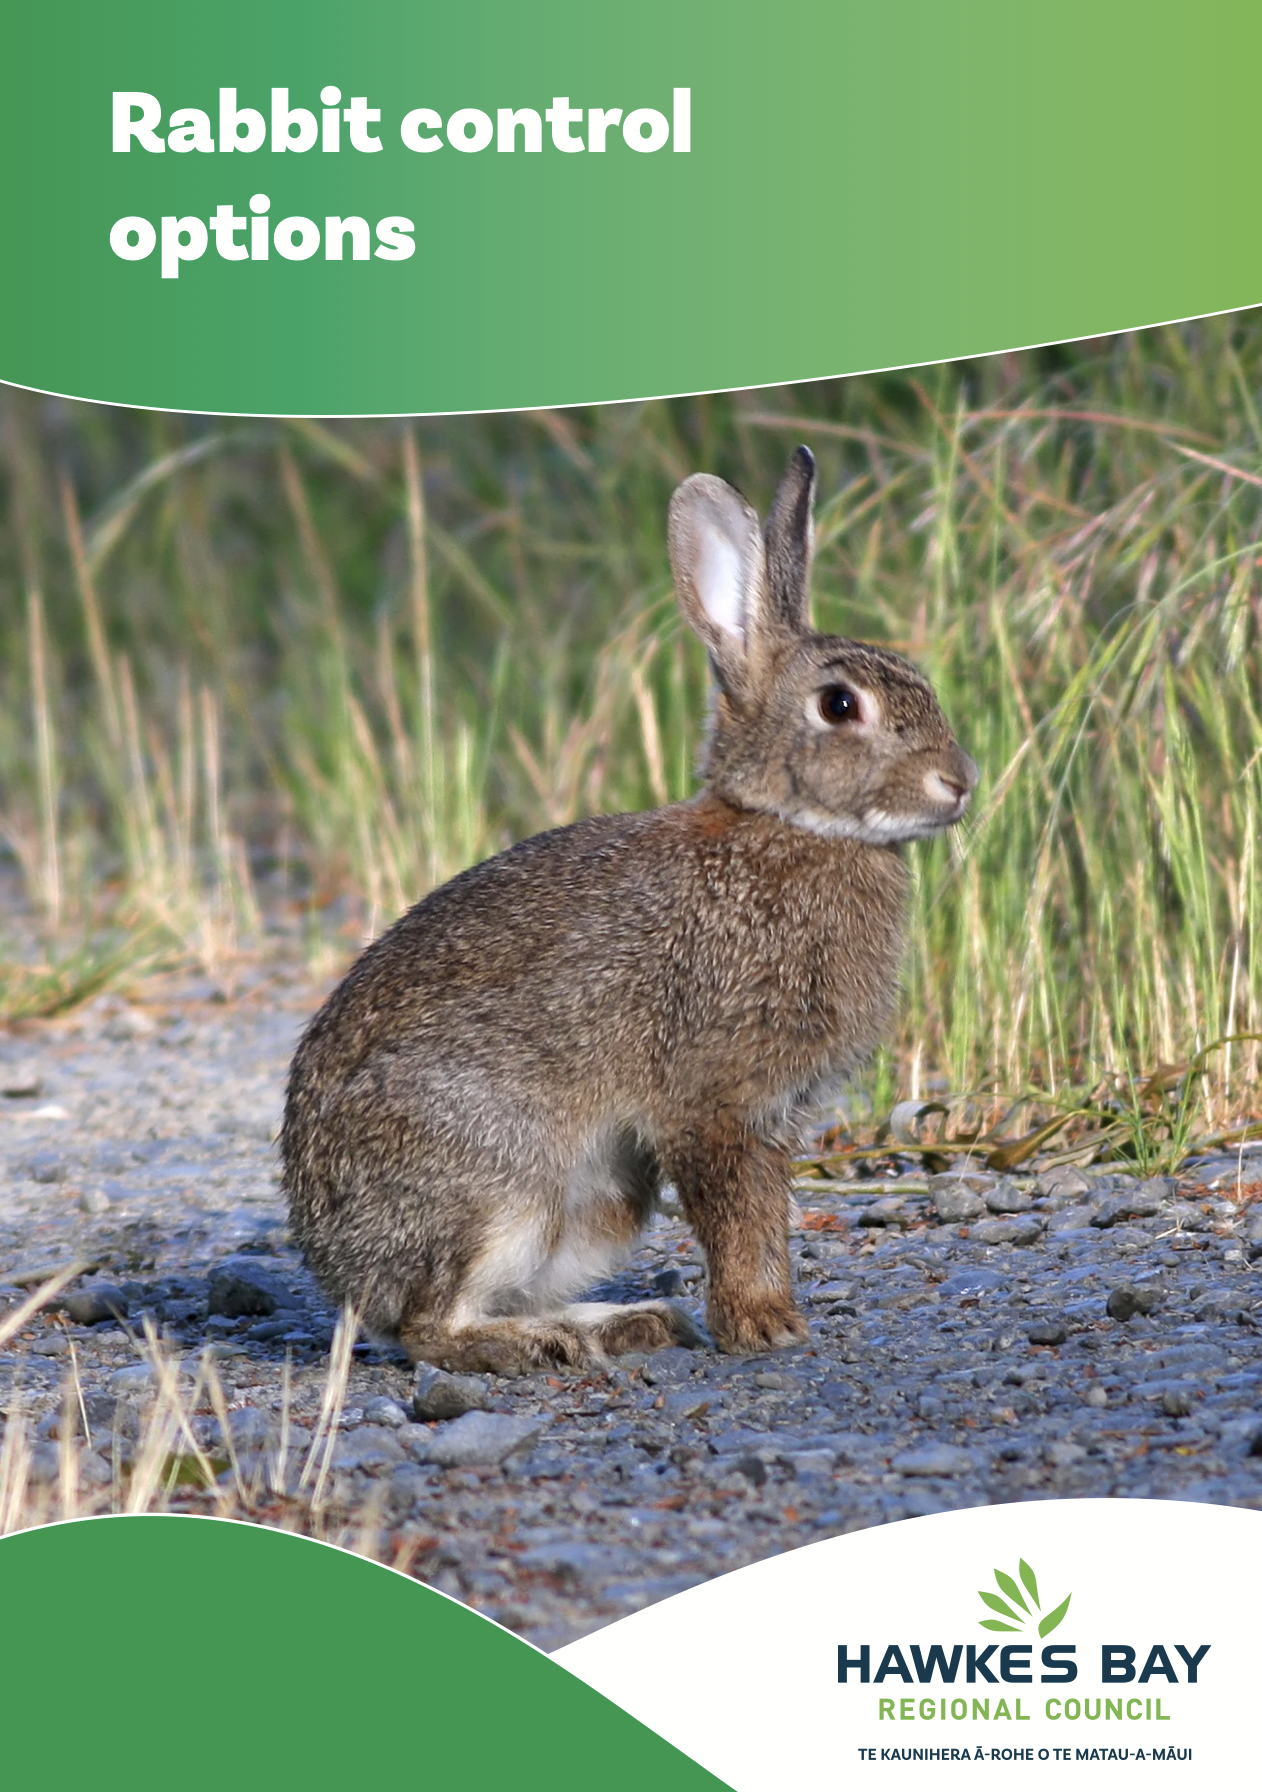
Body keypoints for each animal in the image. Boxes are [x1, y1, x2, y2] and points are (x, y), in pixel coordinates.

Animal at [281, 446, 977, 1374]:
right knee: (429, 1325)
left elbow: (764, 1217)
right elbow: (739, 1216)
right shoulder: (713, 1099)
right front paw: (762, 1327)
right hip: (503, 1179)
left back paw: (624, 1323)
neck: (789, 826)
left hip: (601, 1203)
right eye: (839, 706)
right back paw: (544, 1343)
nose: (958, 783)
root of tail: (337, 1263)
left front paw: (768, 1320)